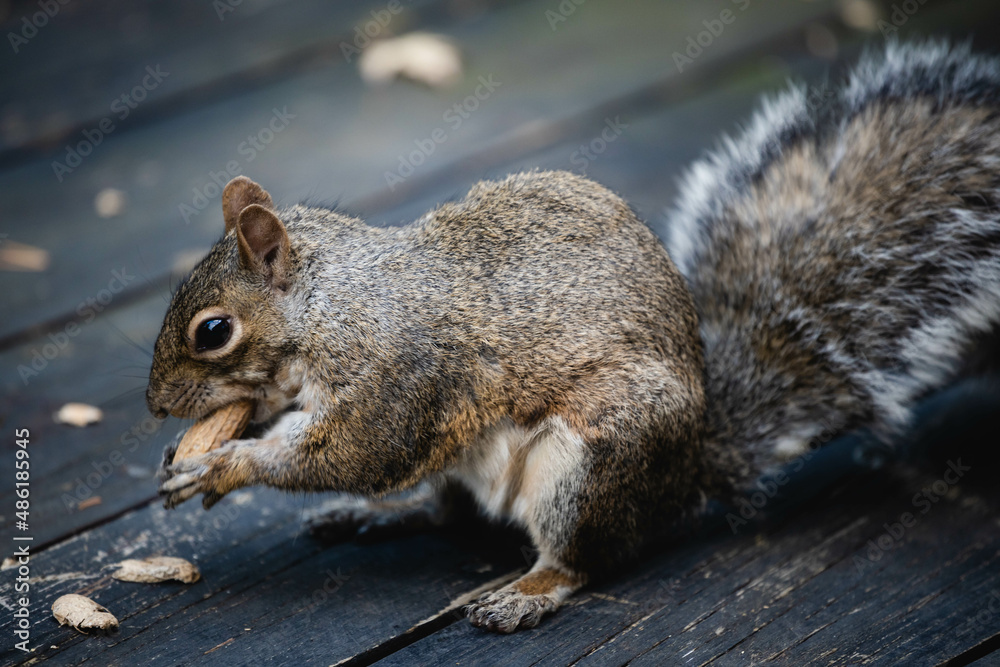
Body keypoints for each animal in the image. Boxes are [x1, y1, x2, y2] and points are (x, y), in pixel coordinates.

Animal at [149, 41, 1000, 633]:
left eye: (214, 330)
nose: (157, 405)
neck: (334, 304)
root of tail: (689, 468)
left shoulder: (402, 374)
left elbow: (356, 452)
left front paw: (222, 463)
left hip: (594, 456)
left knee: (586, 559)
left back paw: (528, 591)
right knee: (449, 511)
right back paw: (378, 515)